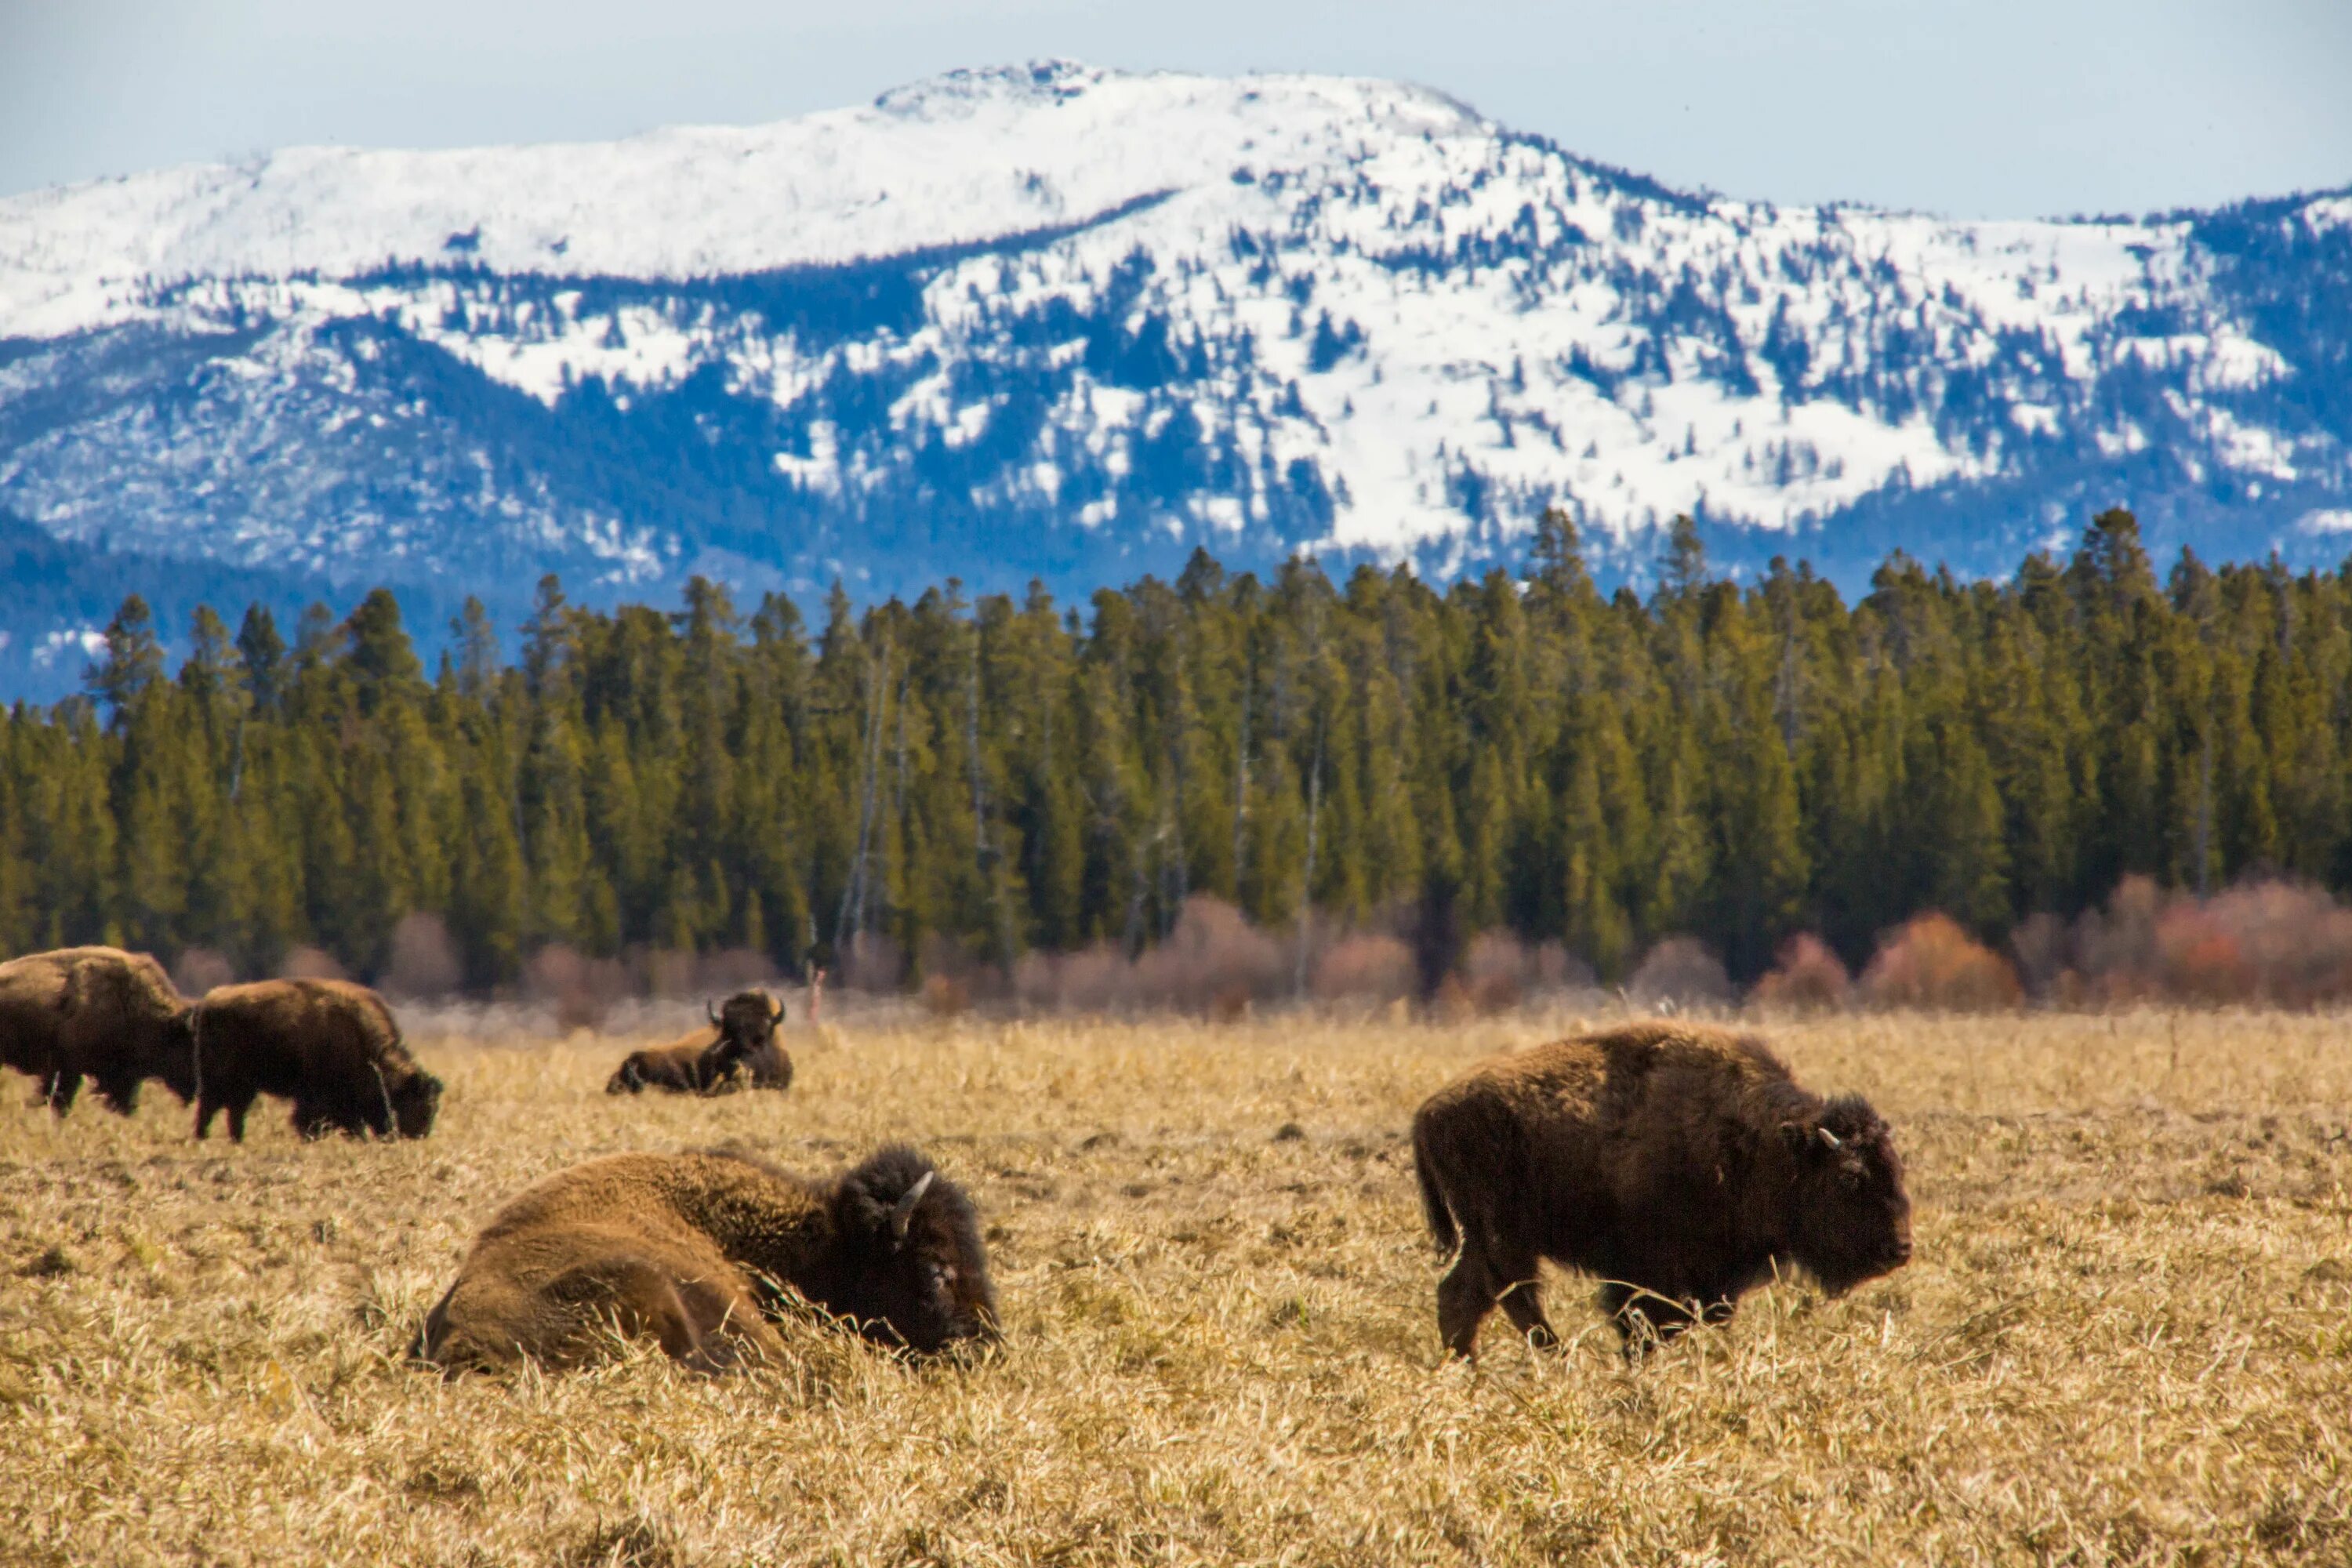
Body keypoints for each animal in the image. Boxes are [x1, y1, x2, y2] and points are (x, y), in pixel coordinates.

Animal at [191, 982, 442, 1142]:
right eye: (419, 1104)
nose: (420, 1134)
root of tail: (210, 1002)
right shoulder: (317, 1098)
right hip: (221, 1079)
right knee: (210, 1107)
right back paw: (203, 1137)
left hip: (245, 1085)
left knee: (234, 1111)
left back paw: (236, 1139)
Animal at [1402, 1025, 1900, 1354]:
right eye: (1850, 1177)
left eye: (1896, 1168)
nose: (1901, 1248)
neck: (1762, 1141)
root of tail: (1428, 1113)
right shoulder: (1647, 1271)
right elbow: (1641, 1320)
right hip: (1504, 1237)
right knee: (1509, 1295)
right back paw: (1554, 1355)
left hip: (1487, 1239)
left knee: (1463, 1296)